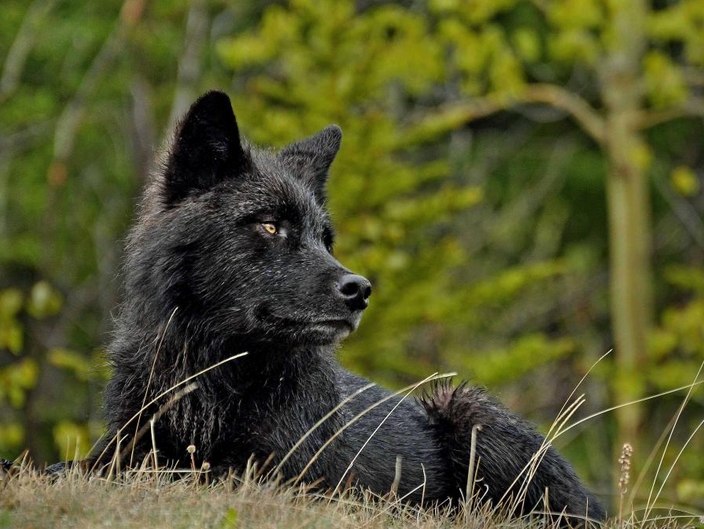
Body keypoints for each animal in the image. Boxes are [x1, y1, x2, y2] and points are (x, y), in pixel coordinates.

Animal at [85, 91, 603, 524]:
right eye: (270, 226)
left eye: (324, 239)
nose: (360, 289)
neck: (211, 378)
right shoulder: (122, 450)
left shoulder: (271, 478)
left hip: (467, 409)